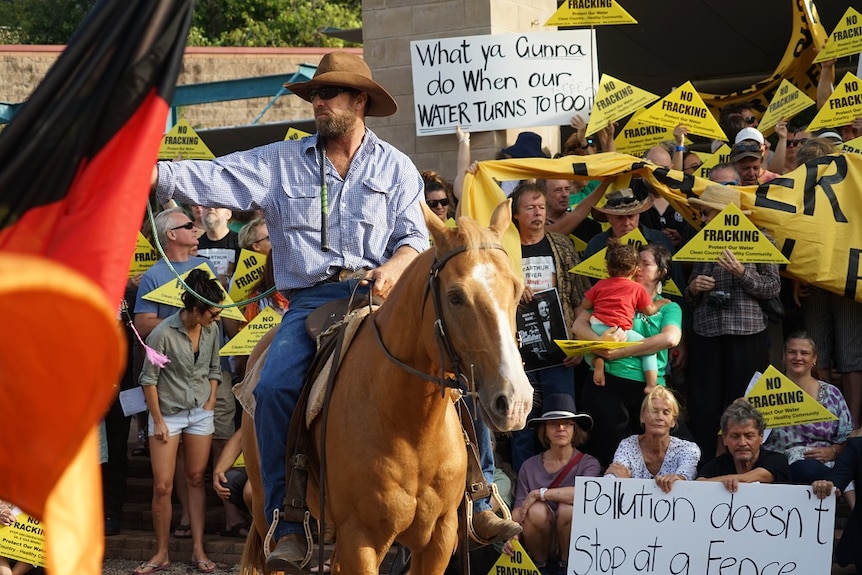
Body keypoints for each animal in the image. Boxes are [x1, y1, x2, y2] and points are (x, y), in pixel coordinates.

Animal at [238, 201, 532, 575]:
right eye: (455, 296)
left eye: (516, 289)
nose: (515, 401)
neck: (409, 423)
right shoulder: (360, 540)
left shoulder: (439, 538)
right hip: (268, 515)